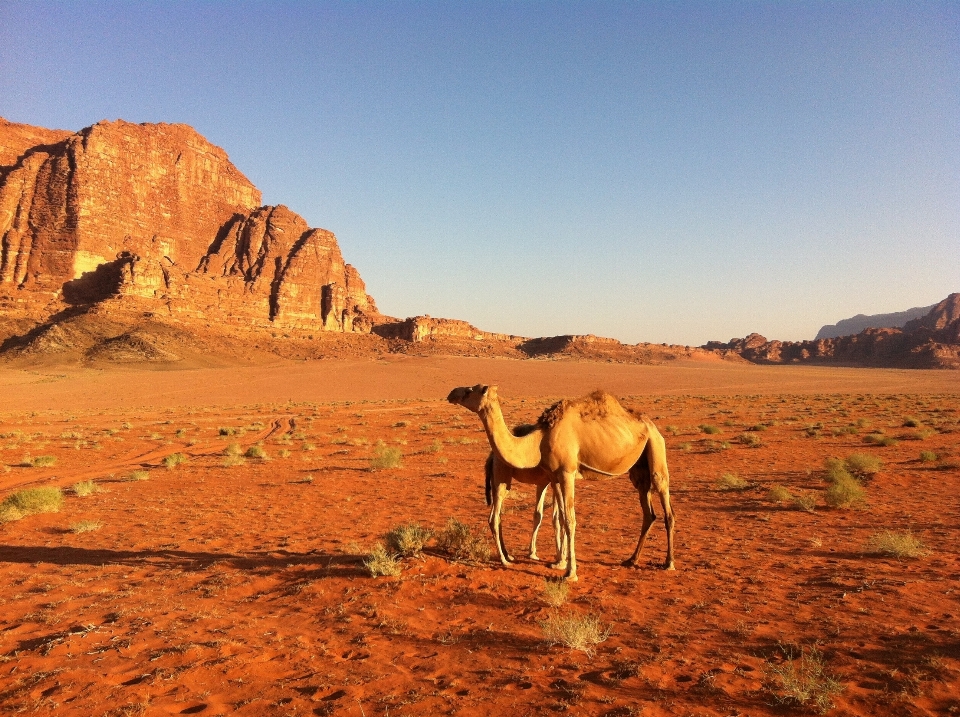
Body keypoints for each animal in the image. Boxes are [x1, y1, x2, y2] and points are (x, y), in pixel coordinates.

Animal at [446, 384, 672, 580]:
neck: (539, 438)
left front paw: (569, 572)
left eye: (469, 390)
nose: (451, 393)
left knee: (665, 503)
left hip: (655, 449)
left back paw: (668, 563)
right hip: (639, 470)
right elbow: (560, 518)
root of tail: (652, 426)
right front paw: (560, 563)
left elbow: (567, 519)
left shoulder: (565, 473)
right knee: (648, 512)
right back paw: (632, 559)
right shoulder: (553, 476)